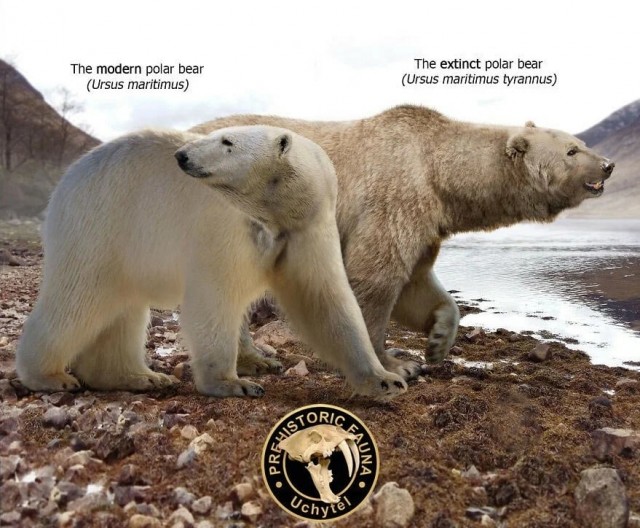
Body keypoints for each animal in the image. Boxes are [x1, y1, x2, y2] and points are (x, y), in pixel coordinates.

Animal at [16, 125, 407, 400]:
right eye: (217, 136)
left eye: (227, 142)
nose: (182, 156)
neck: (276, 213)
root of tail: (66, 179)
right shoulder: (224, 226)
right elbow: (215, 298)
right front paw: (234, 384)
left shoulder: (309, 227)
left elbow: (327, 301)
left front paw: (386, 380)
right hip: (99, 224)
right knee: (78, 298)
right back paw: (51, 376)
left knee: (122, 308)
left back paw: (140, 377)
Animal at [192, 107, 615, 378]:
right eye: (572, 150)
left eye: (579, 141)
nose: (608, 164)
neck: (441, 173)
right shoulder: (395, 197)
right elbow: (376, 278)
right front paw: (396, 363)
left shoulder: (426, 221)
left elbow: (417, 283)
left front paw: (438, 341)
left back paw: (255, 358)